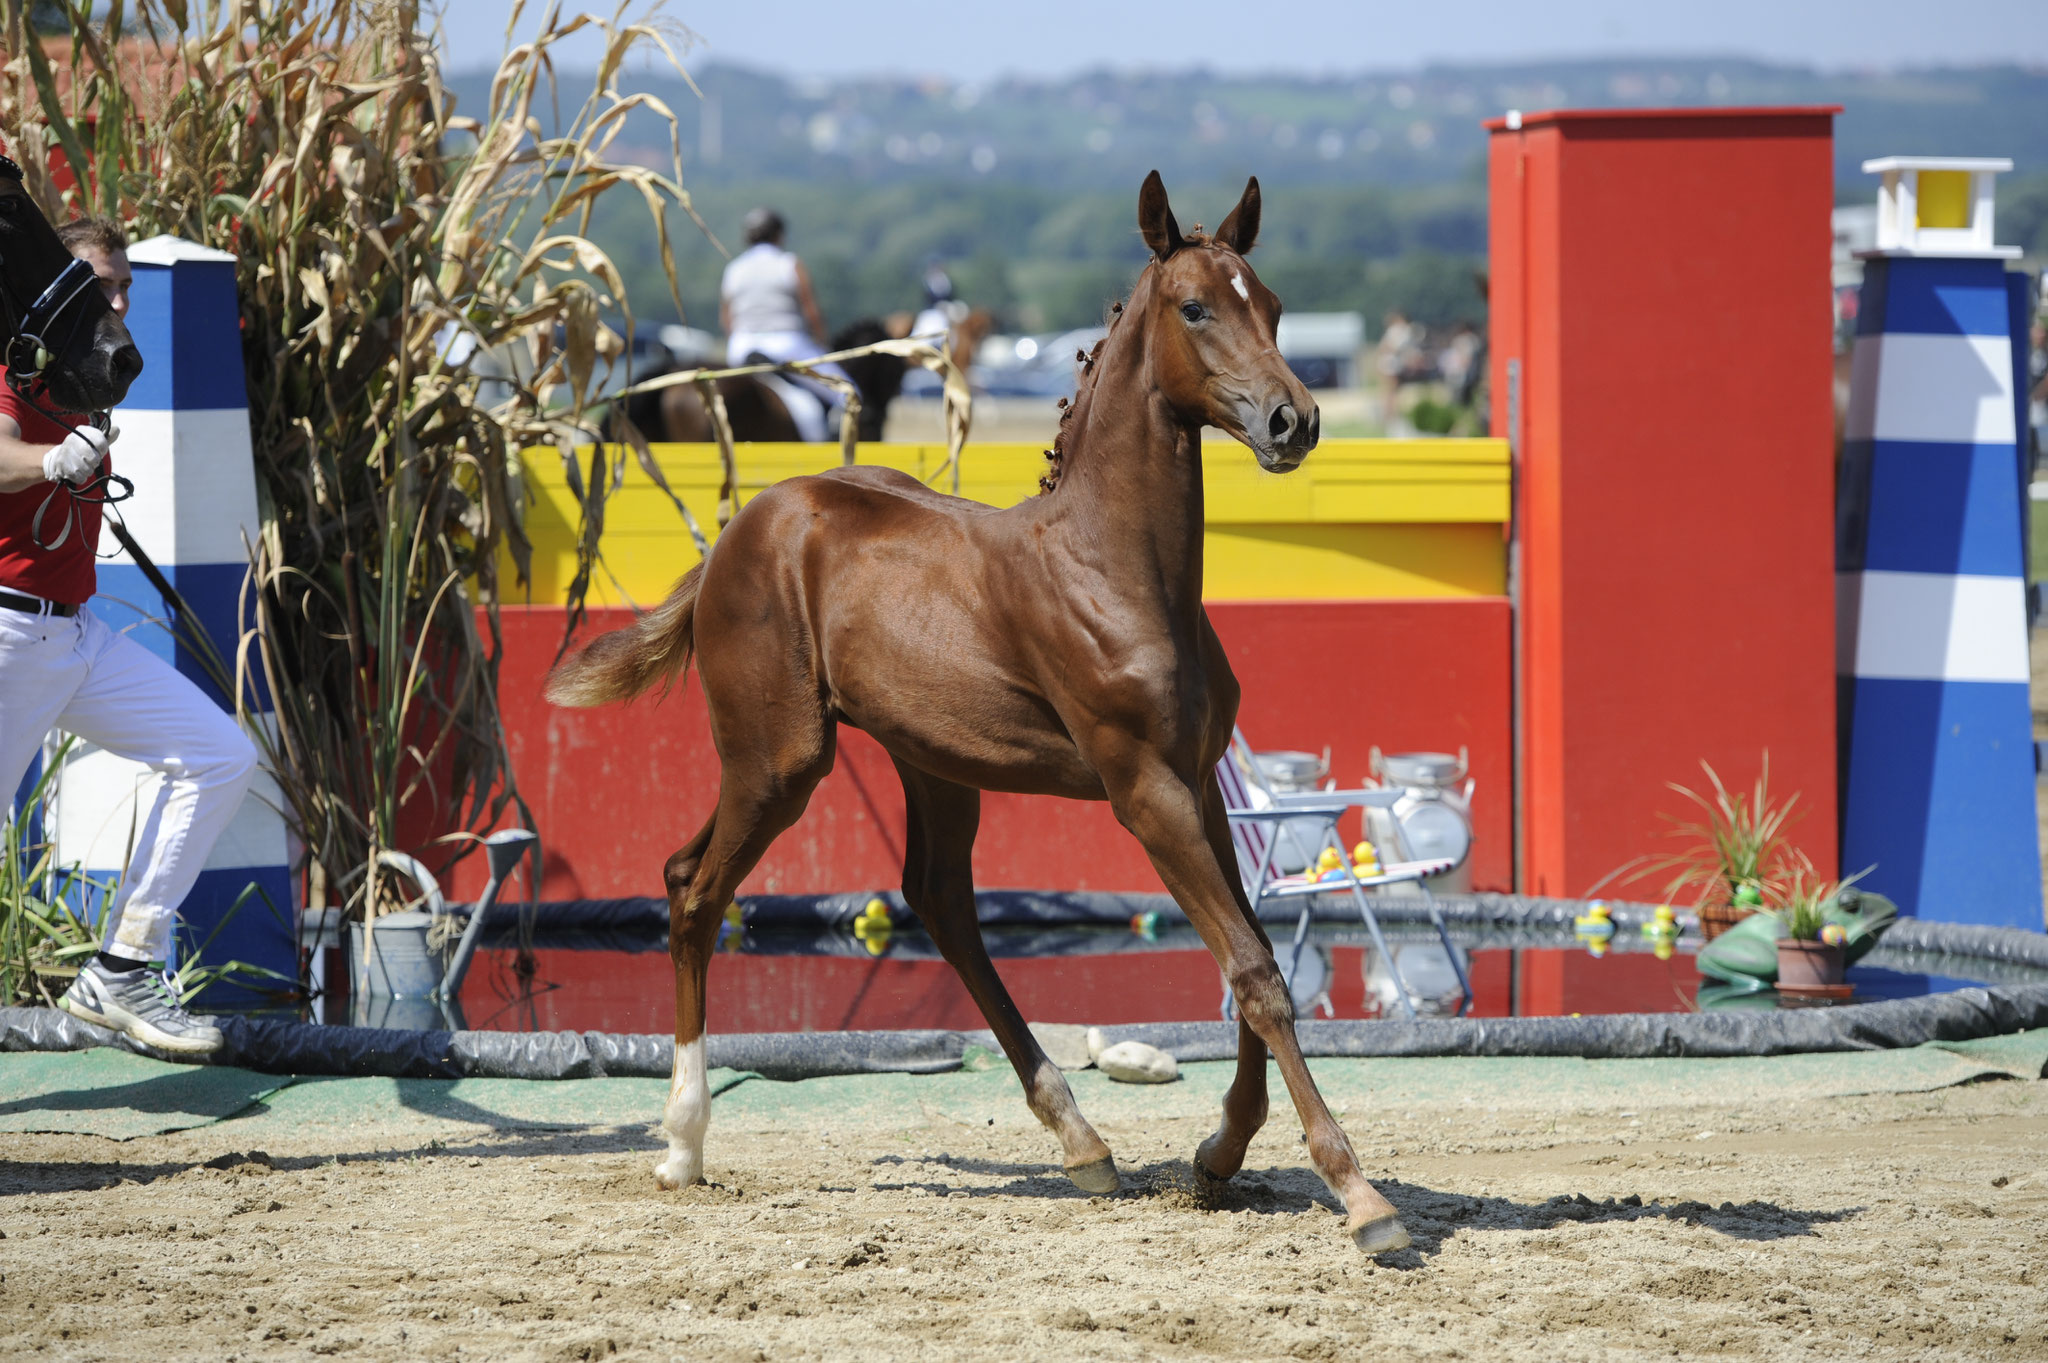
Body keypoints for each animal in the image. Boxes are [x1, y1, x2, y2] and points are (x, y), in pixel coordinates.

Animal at [544, 169, 1409, 1252]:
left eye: (1277, 306)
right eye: (1194, 307)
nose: (1294, 421)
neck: (1116, 570)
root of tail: (741, 529)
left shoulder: (1199, 782)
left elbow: (1246, 961)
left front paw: (1218, 1154)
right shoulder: (1144, 790)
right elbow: (1253, 970)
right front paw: (1360, 1195)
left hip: (923, 763)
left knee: (923, 898)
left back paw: (1081, 1142)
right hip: (779, 760)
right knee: (701, 892)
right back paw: (683, 1143)